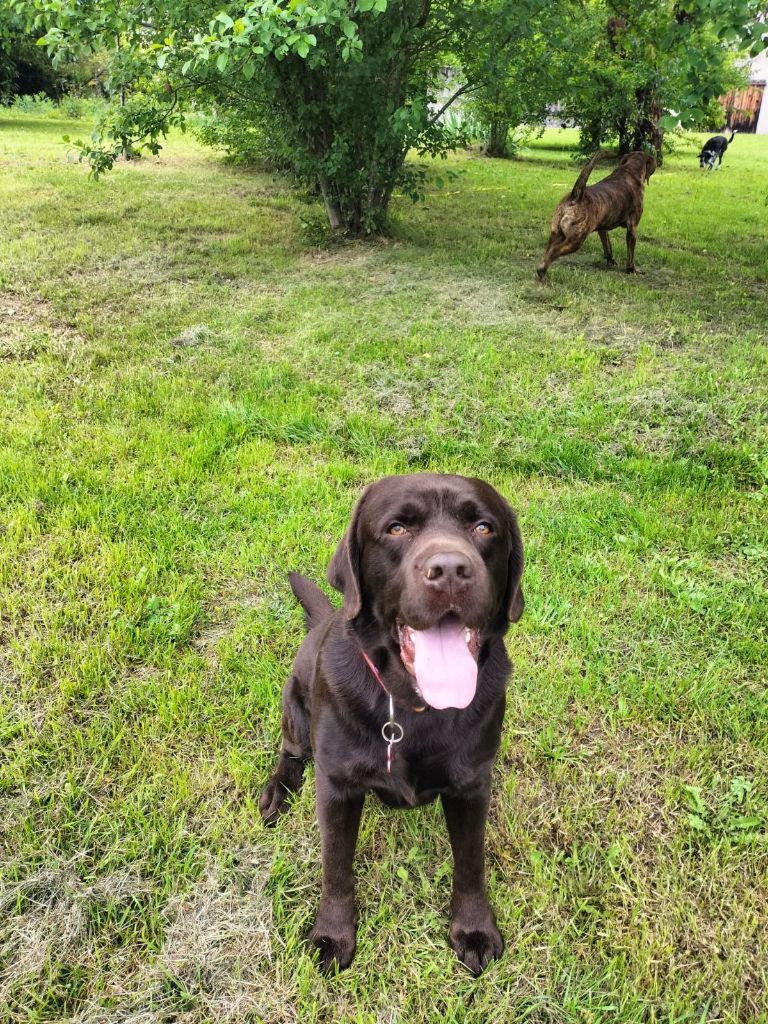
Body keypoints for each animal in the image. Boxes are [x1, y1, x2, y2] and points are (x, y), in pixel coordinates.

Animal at [262, 471, 528, 974]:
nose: (450, 569)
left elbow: (471, 862)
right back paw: (278, 790)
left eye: (484, 527)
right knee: (291, 751)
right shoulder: (336, 787)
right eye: (397, 528)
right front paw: (333, 934)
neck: (410, 705)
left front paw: (473, 928)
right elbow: (336, 866)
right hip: (294, 703)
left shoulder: (471, 785)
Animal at [536, 149, 659, 280]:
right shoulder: (632, 228)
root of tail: (575, 196)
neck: (629, 170)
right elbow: (630, 253)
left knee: (548, 251)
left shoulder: (603, 228)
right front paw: (632, 270)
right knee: (554, 251)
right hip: (576, 240)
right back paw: (541, 271)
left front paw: (610, 260)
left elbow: (607, 245)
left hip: (556, 234)